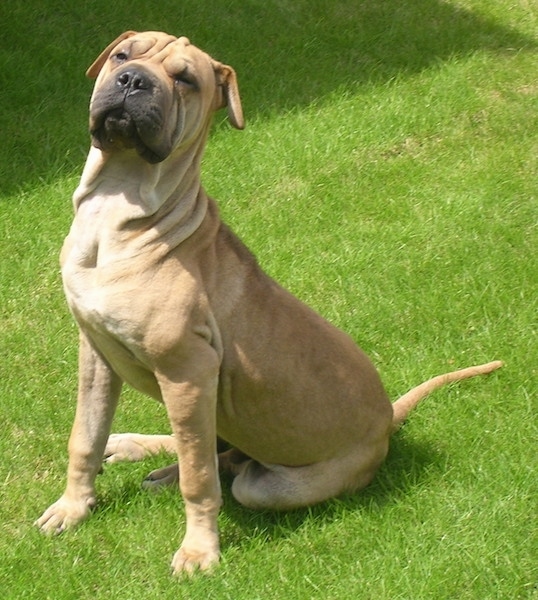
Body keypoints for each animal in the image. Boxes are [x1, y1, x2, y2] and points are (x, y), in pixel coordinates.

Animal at [35, 30, 500, 576]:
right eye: (122, 57)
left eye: (185, 79)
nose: (132, 81)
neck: (117, 207)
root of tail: (388, 418)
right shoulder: (96, 351)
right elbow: (84, 436)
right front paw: (72, 507)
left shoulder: (187, 371)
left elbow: (199, 480)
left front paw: (200, 550)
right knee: (206, 447)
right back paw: (135, 448)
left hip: (268, 479)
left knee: (227, 468)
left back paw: (170, 470)